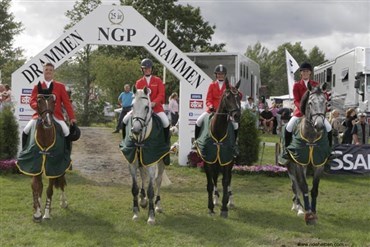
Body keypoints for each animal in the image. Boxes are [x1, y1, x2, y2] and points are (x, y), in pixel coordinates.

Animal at [119, 86, 170, 225]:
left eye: (147, 107)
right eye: (132, 105)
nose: (135, 130)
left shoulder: (152, 162)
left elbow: (151, 190)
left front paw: (151, 216)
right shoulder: (132, 162)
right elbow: (134, 188)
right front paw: (136, 213)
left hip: (161, 161)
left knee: (158, 180)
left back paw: (158, 205)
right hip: (142, 160)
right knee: (142, 175)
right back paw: (142, 199)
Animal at [195, 80, 241, 217]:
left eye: (239, 96)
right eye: (228, 96)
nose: (237, 115)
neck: (218, 132)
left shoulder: (227, 159)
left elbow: (225, 182)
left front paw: (224, 208)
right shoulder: (208, 160)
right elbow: (210, 184)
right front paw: (210, 207)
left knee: (228, 180)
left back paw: (230, 200)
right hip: (215, 161)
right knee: (215, 179)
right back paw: (215, 199)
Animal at [282, 83, 330, 226]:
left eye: (325, 102)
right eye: (310, 103)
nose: (319, 125)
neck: (311, 139)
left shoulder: (319, 164)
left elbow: (314, 189)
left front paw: (313, 212)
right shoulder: (298, 162)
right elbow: (303, 187)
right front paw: (308, 214)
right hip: (290, 165)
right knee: (295, 184)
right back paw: (298, 207)